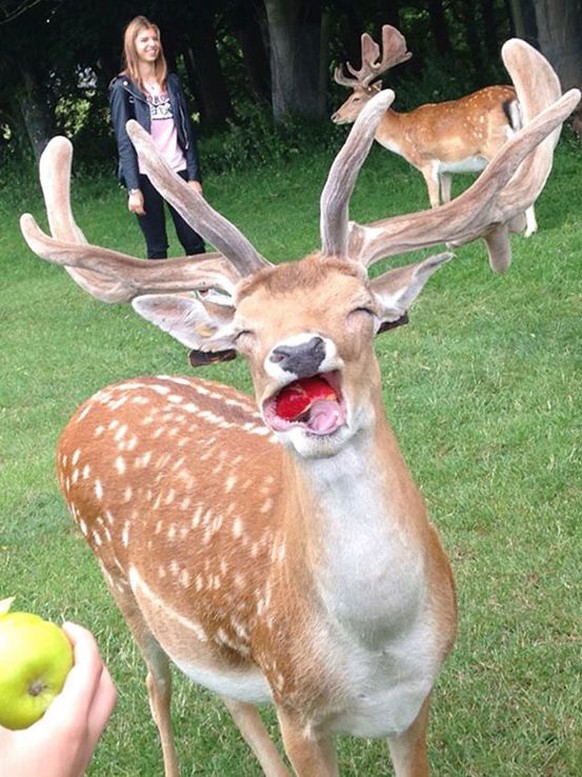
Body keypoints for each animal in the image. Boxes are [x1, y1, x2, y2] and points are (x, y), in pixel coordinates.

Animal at [334, 25, 544, 236]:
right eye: (350, 95)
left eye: (356, 98)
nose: (335, 116)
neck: (401, 135)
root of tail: (513, 98)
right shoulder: (446, 169)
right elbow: (447, 200)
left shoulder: (427, 163)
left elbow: (434, 202)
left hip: (496, 145)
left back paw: (529, 230)